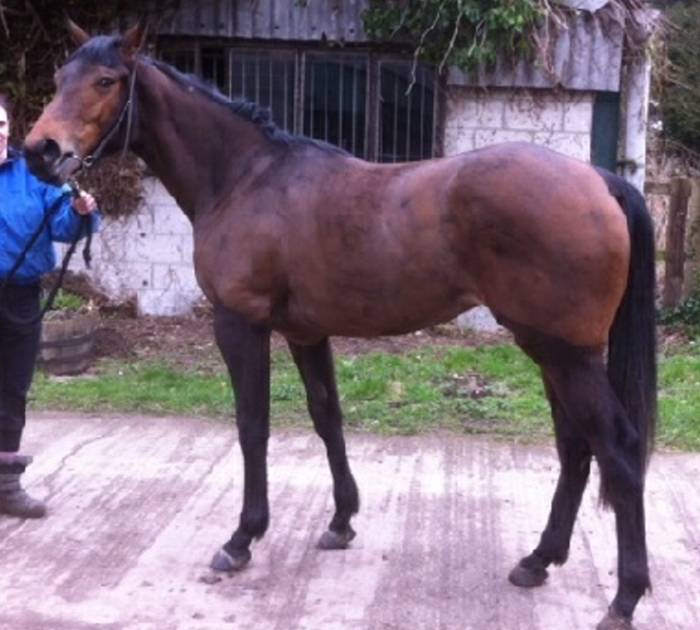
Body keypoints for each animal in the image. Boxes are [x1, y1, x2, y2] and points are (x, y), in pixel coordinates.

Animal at [23, 21, 657, 630]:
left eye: (106, 81)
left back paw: (625, 597)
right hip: (549, 350)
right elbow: (327, 417)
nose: (39, 151)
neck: (243, 177)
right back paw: (538, 560)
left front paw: (242, 538)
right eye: (58, 77)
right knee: (575, 447)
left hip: (565, 354)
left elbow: (253, 426)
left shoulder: (240, 325)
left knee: (617, 448)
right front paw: (341, 521)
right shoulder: (306, 332)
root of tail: (599, 180)